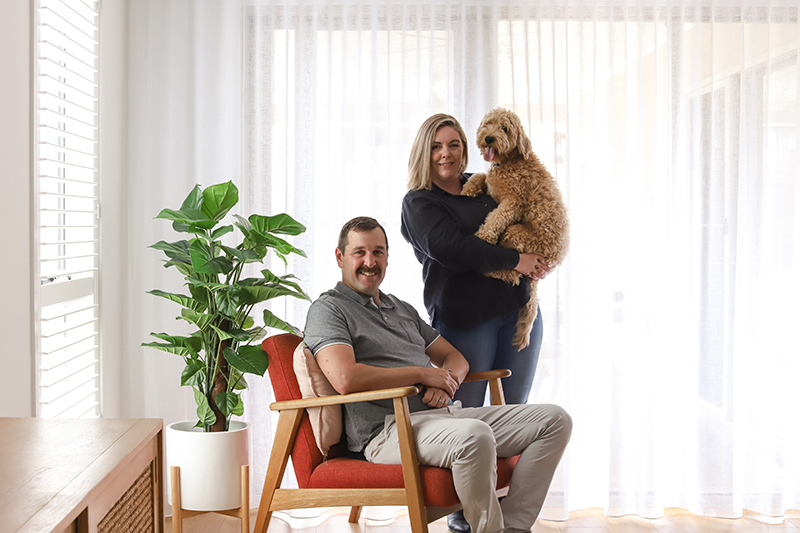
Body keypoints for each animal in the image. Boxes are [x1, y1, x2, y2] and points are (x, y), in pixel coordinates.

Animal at [462, 108, 568, 350]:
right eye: (488, 124)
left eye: (505, 129)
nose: (489, 138)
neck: (507, 162)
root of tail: (556, 256)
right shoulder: (494, 187)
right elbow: (481, 175)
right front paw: (468, 187)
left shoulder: (513, 202)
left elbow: (495, 218)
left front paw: (483, 236)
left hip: (516, 234)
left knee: (513, 275)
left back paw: (490, 271)